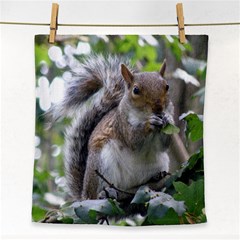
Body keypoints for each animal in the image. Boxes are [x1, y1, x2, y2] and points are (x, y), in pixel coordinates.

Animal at [50, 54, 174, 201]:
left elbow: (164, 144)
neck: (144, 115)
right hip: (101, 163)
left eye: (167, 86)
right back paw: (105, 193)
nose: (158, 107)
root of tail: (84, 195)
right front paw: (149, 123)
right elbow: (133, 140)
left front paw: (168, 119)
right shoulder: (121, 124)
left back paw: (155, 180)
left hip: (161, 162)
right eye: (136, 90)